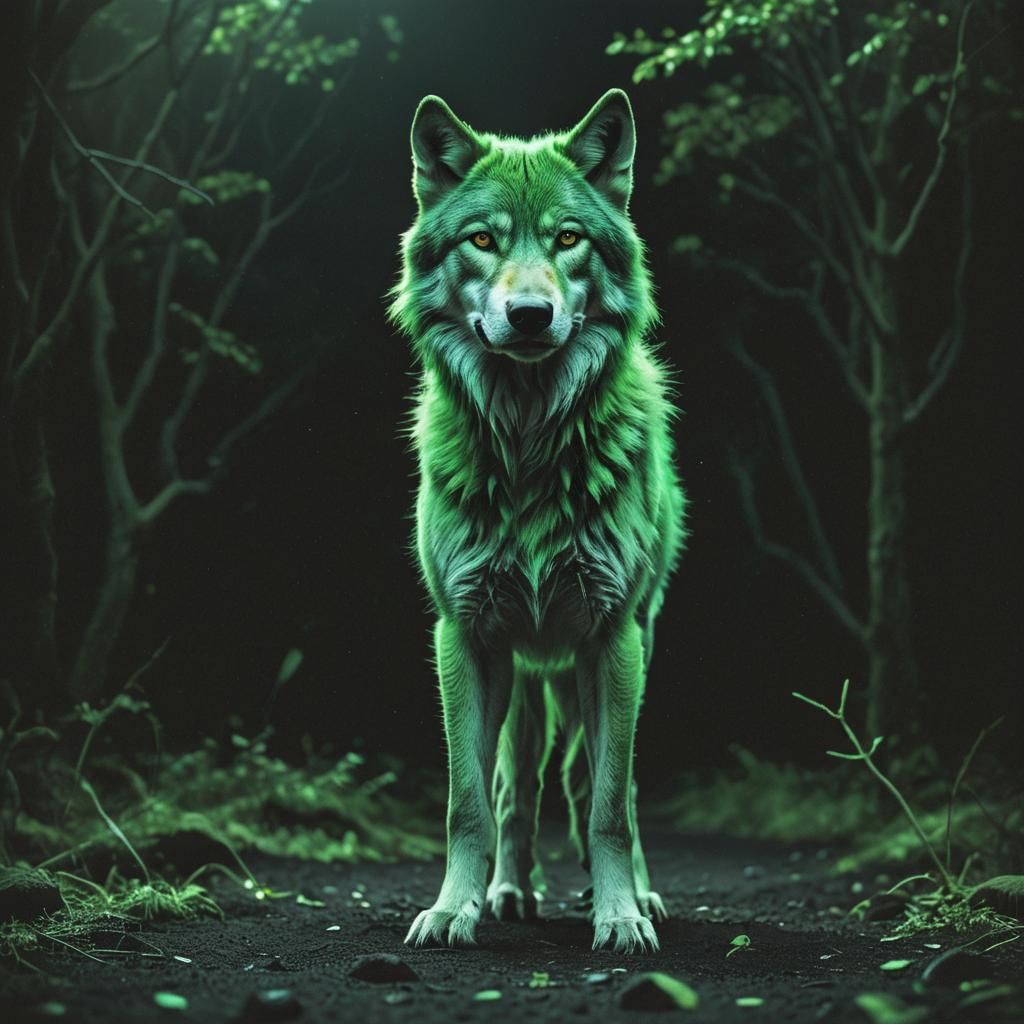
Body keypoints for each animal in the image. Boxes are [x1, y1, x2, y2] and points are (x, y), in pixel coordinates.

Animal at [389, 89, 685, 953]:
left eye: (567, 238)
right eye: (483, 239)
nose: (528, 314)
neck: (526, 449)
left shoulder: (611, 638)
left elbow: (610, 804)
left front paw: (620, 915)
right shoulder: (464, 637)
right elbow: (468, 802)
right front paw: (452, 908)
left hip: (624, 650)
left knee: (595, 782)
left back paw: (635, 896)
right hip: (522, 674)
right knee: (516, 784)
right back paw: (508, 893)